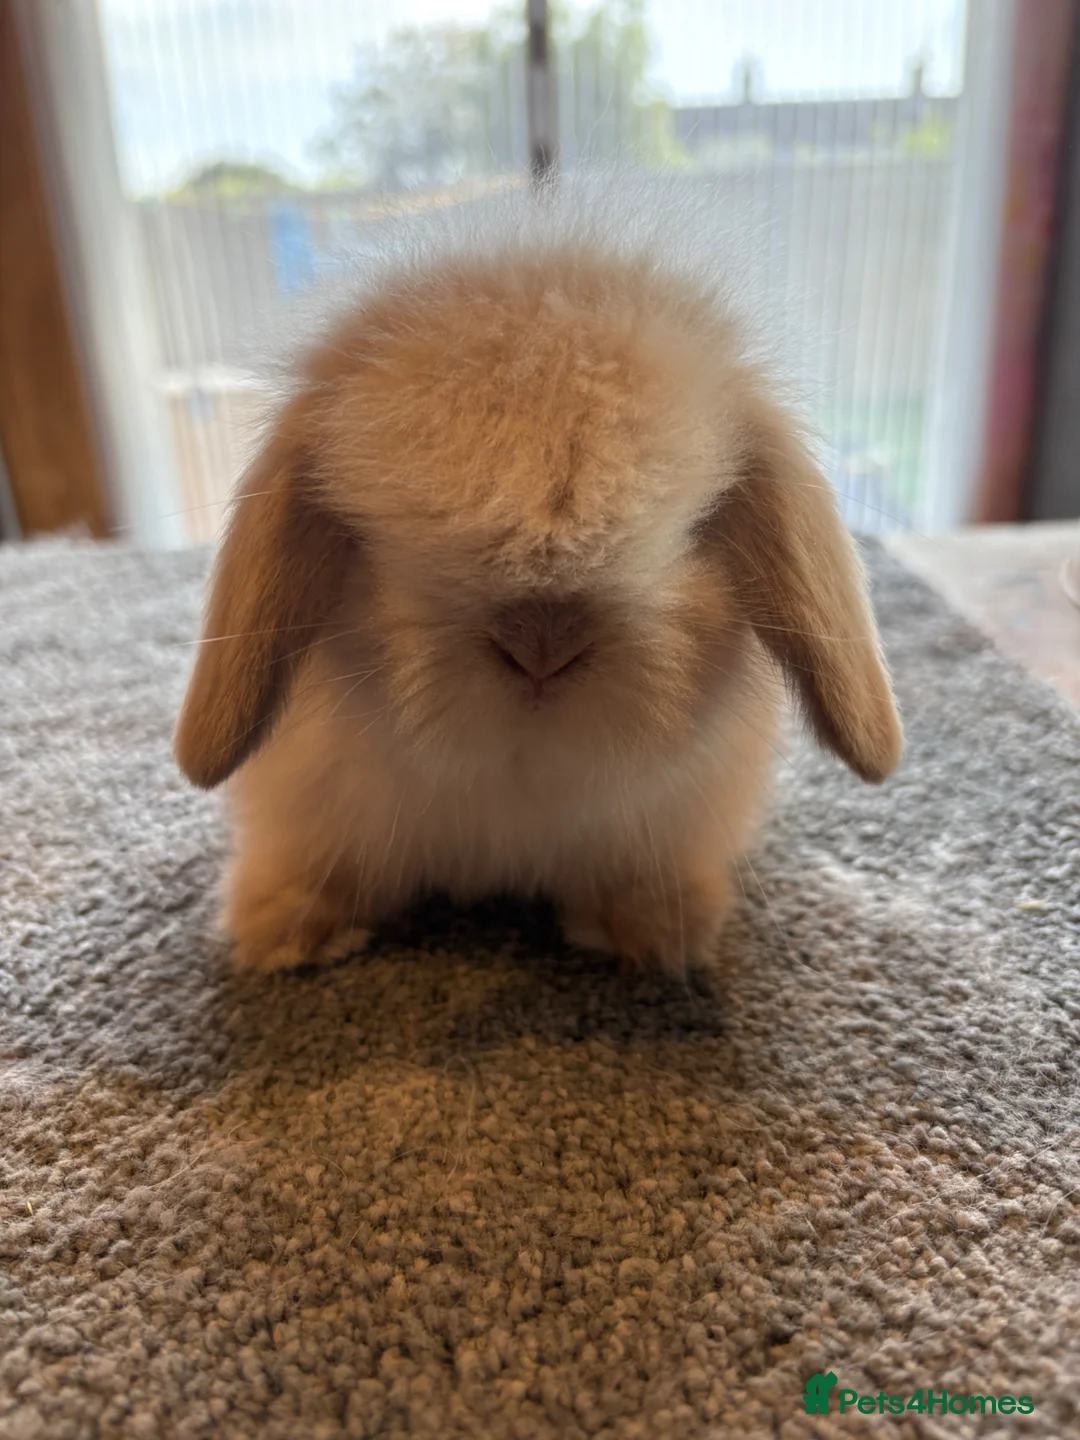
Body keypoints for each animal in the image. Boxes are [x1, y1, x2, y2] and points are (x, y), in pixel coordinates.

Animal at [174, 176, 903, 974]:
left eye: (697, 525)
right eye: (370, 529)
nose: (542, 646)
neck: (518, 777)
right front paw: (281, 933)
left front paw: (655, 932)